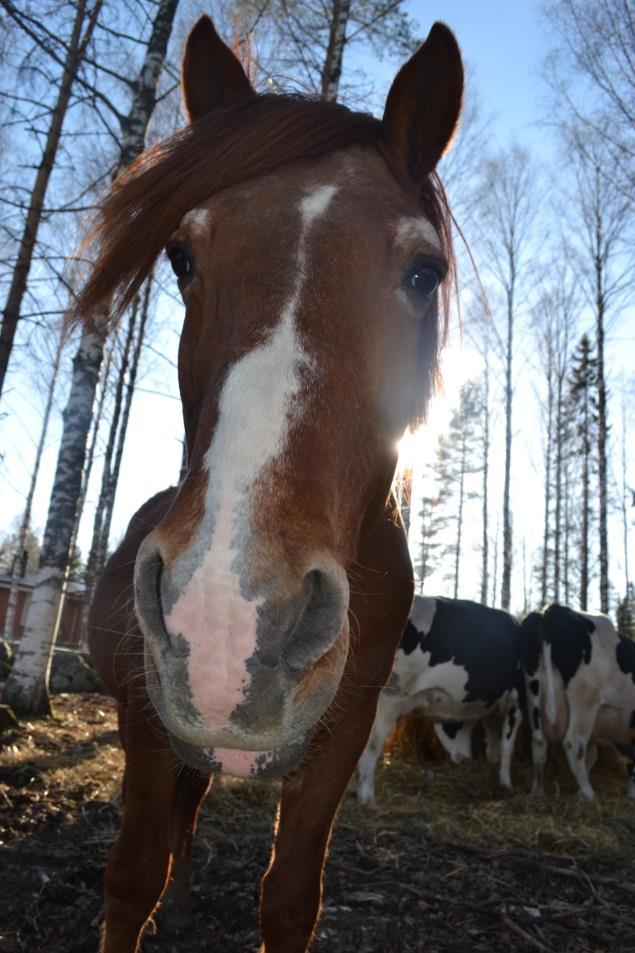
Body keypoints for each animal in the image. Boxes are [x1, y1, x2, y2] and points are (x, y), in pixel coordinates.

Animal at [79, 14, 464, 952]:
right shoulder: (147, 723)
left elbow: (290, 896)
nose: (223, 625)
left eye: (424, 271)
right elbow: (130, 876)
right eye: (181, 257)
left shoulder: (341, 733)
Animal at [356, 596, 524, 804]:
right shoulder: (516, 701)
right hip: (390, 696)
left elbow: (494, 745)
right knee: (371, 745)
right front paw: (506, 784)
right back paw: (366, 798)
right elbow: (507, 746)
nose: (464, 759)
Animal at [520, 604, 635, 796]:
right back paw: (590, 795)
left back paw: (537, 792)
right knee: (574, 744)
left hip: (533, 690)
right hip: (585, 700)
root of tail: (553, 609)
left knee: (538, 742)